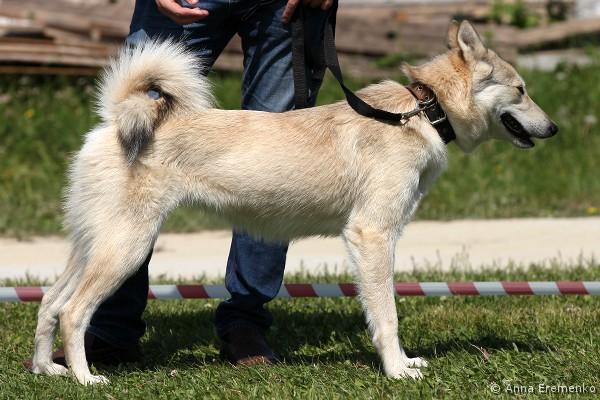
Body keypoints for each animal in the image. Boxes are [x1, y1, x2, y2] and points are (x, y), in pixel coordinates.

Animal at [31, 20, 557, 385]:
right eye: (521, 90)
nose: (554, 128)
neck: (422, 110)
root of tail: (115, 117)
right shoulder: (372, 237)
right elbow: (386, 316)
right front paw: (397, 370)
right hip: (128, 248)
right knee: (74, 312)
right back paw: (85, 378)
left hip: (94, 247)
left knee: (50, 303)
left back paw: (47, 371)